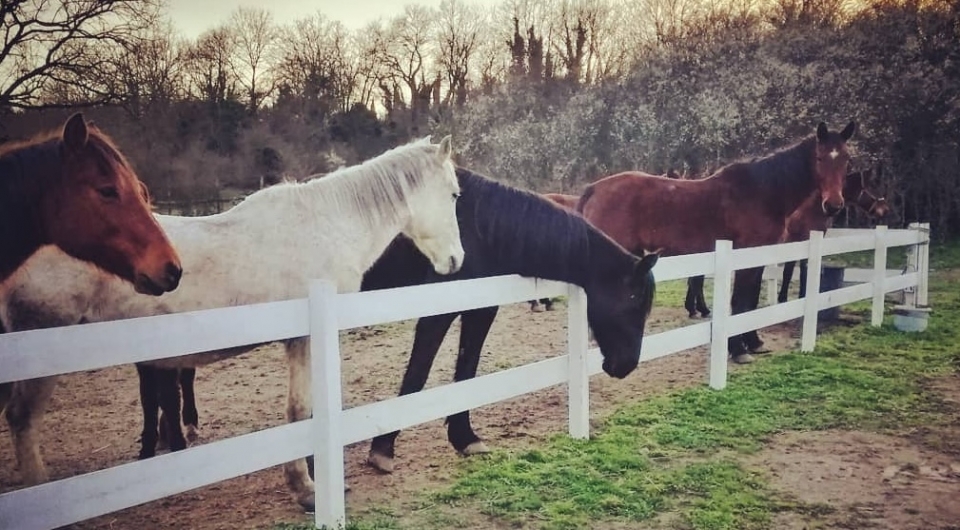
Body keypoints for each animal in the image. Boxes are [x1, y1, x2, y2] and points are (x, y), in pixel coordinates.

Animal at [0, 135, 464, 511]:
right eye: (455, 194)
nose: (456, 260)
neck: (326, 225)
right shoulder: (305, 339)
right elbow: (301, 409)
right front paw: (308, 490)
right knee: (22, 420)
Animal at [149, 166, 659, 477]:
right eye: (634, 300)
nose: (625, 366)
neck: (481, 227)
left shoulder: (481, 309)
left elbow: (466, 371)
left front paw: (464, 437)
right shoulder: (437, 309)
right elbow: (417, 375)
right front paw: (382, 450)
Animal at [576, 121, 856, 364]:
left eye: (846, 159)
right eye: (820, 158)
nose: (833, 205)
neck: (762, 192)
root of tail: (594, 188)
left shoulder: (759, 256)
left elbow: (752, 300)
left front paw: (753, 342)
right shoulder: (745, 255)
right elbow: (741, 302)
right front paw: (738, 350)